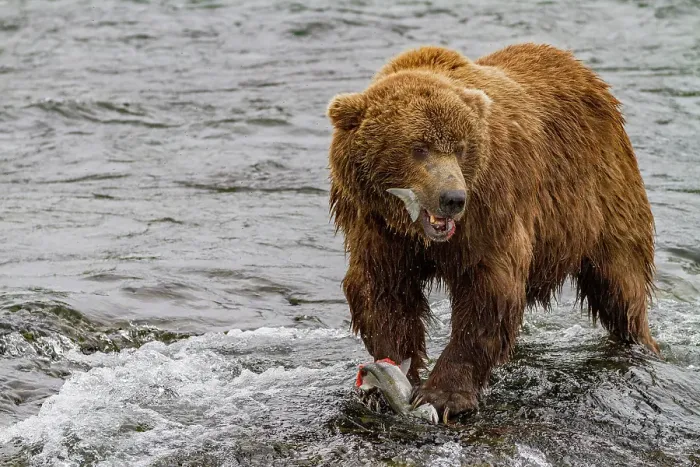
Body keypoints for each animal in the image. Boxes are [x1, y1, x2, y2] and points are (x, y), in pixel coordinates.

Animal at [326, 43, 658, 421]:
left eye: (460, 147)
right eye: (419, 147)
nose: (453, 198)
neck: (418, 232)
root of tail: (590, 77)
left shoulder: (490, 211)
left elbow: (487, 294)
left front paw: (444, 395)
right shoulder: (376, 226)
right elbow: (383, 291)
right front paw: (389, 378)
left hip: (602, 194)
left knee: (621, 283)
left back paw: (640, 343)